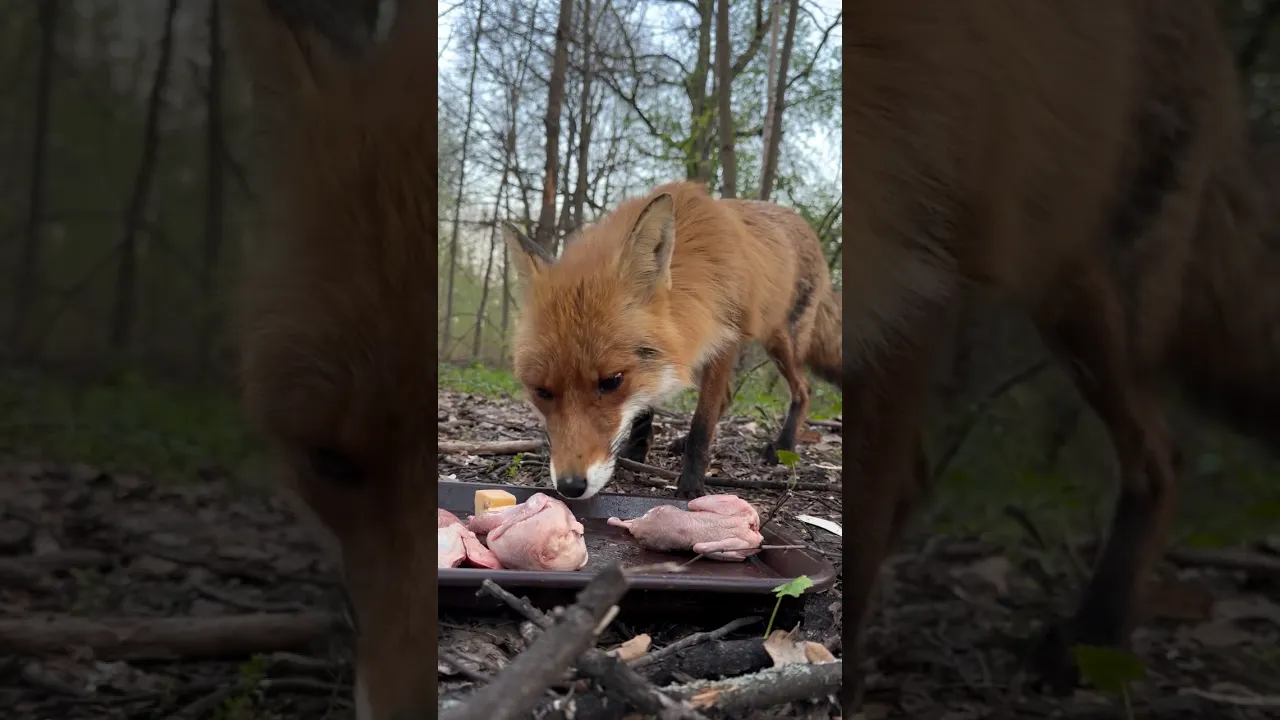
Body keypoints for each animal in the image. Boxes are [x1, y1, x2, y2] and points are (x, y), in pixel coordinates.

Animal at [503, 180, 842, 500]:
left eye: (611, 381)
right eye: (542, 392)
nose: (571, 486)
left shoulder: (725, 339)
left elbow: (701, 424)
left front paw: (691, 485)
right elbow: (645, 407)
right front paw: (636, 452)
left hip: (780, 340)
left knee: (803, 389)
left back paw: (783, 445)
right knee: (729, 397)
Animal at [842, 0, 1280, 705]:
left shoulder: (913, 270)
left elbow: (858, 540)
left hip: (1083, 295)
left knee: (1163, 457)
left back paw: (1094, 635)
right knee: (919, 476)